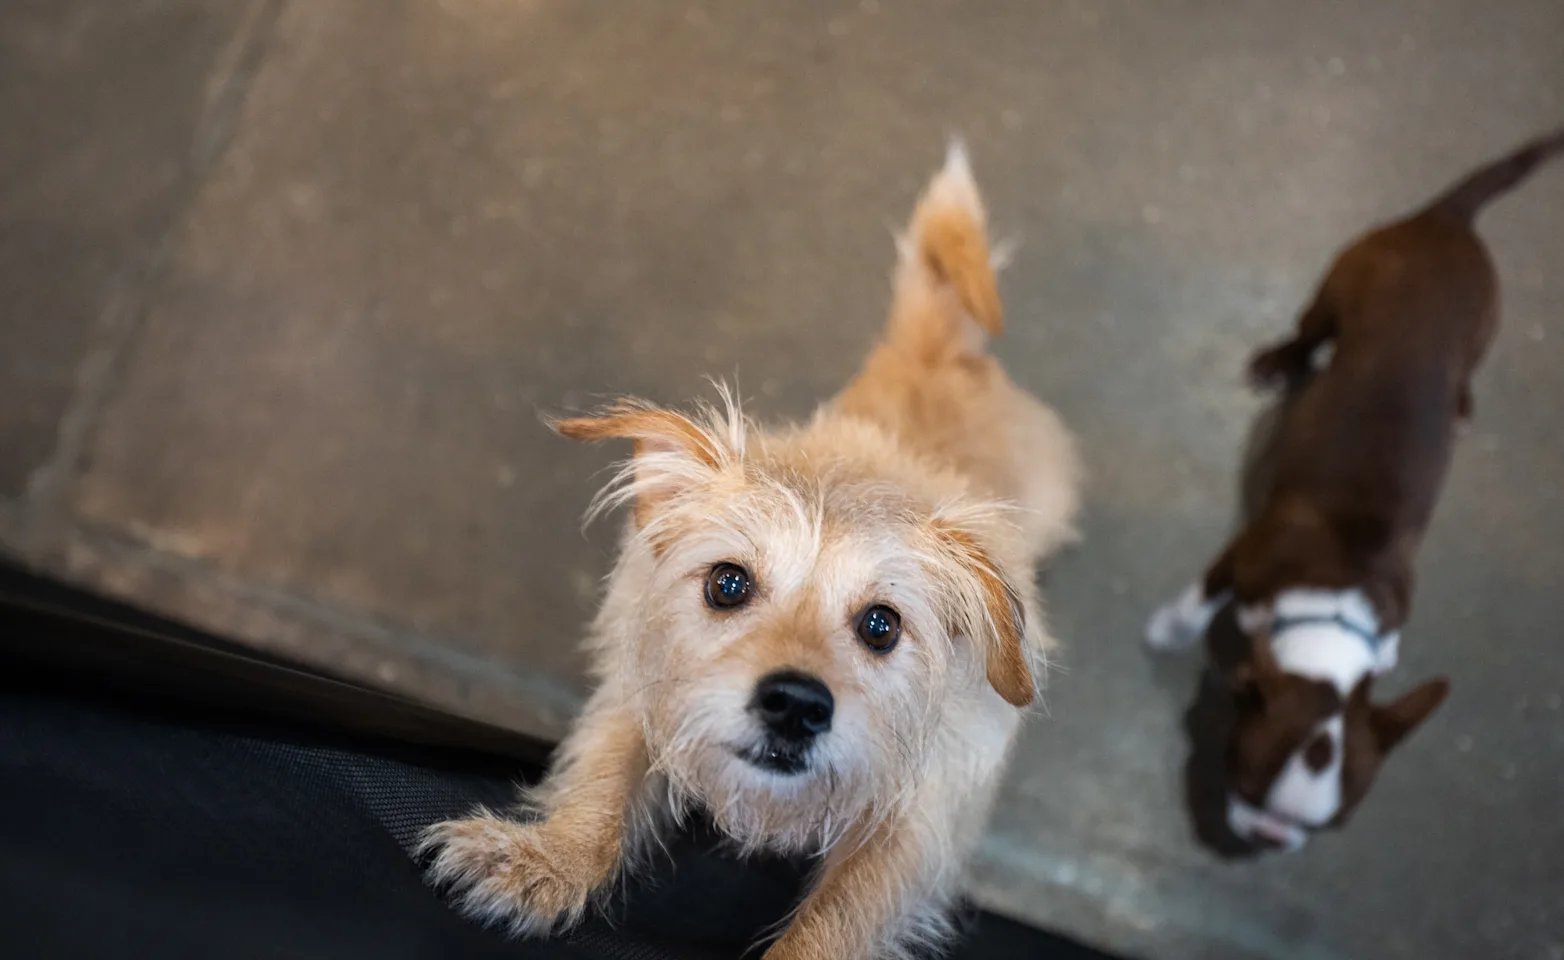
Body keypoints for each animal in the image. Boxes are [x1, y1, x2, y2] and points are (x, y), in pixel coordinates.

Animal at [416, 144, 1082, 960]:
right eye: (727, 584)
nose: (795, 705)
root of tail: (942, 349)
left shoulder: (918, 825)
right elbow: (605, 777)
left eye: (882, 625)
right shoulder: (646, 689)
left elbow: (834, 923)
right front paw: (546, 860)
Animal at [1151, 129, 1564, 856]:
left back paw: (1461, 403)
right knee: (1313, 330)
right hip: (1340, 283)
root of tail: (1446, 220)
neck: (1333, 604)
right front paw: (1170, 630)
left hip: (1484, 324)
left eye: (1331, 825)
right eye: (1244, 783)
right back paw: (1279, 361)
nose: (1269, 838)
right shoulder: (1244, 555)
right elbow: (1198, 599)